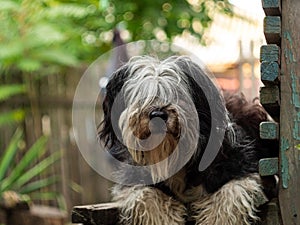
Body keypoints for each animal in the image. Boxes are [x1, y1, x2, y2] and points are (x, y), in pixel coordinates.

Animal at [99, 55, 274, 224]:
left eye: (177, 95)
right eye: (142, 96)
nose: (158, 115)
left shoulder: (241, 169)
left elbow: (229, 196)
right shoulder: (134, 178)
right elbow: (145, 196)